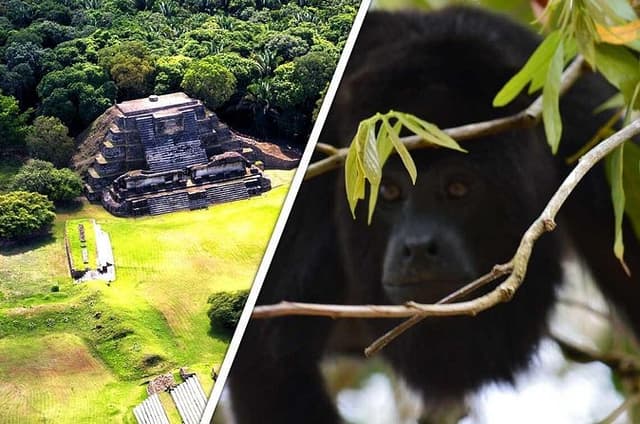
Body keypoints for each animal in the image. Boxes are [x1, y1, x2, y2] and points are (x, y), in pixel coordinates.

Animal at [224, 6, 640, 423]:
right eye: (388, 191)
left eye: (458, 188)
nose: (420, 247)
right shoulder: (321, 174)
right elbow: (270, 356)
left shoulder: (583, 124)